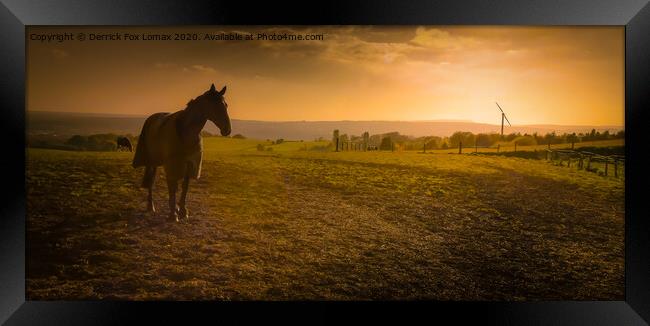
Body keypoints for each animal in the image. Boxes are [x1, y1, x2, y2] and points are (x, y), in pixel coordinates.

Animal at [130, 83, 229, 223]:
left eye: (226, 105)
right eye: (215, 105)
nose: (227, 129)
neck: (185, 131)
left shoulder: (189, 163)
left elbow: (184, 187)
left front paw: (182, 211)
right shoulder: (172, 164)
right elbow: (172, 187)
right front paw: (173, 214)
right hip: (152, 161)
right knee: (151, 181)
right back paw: (151, 206)